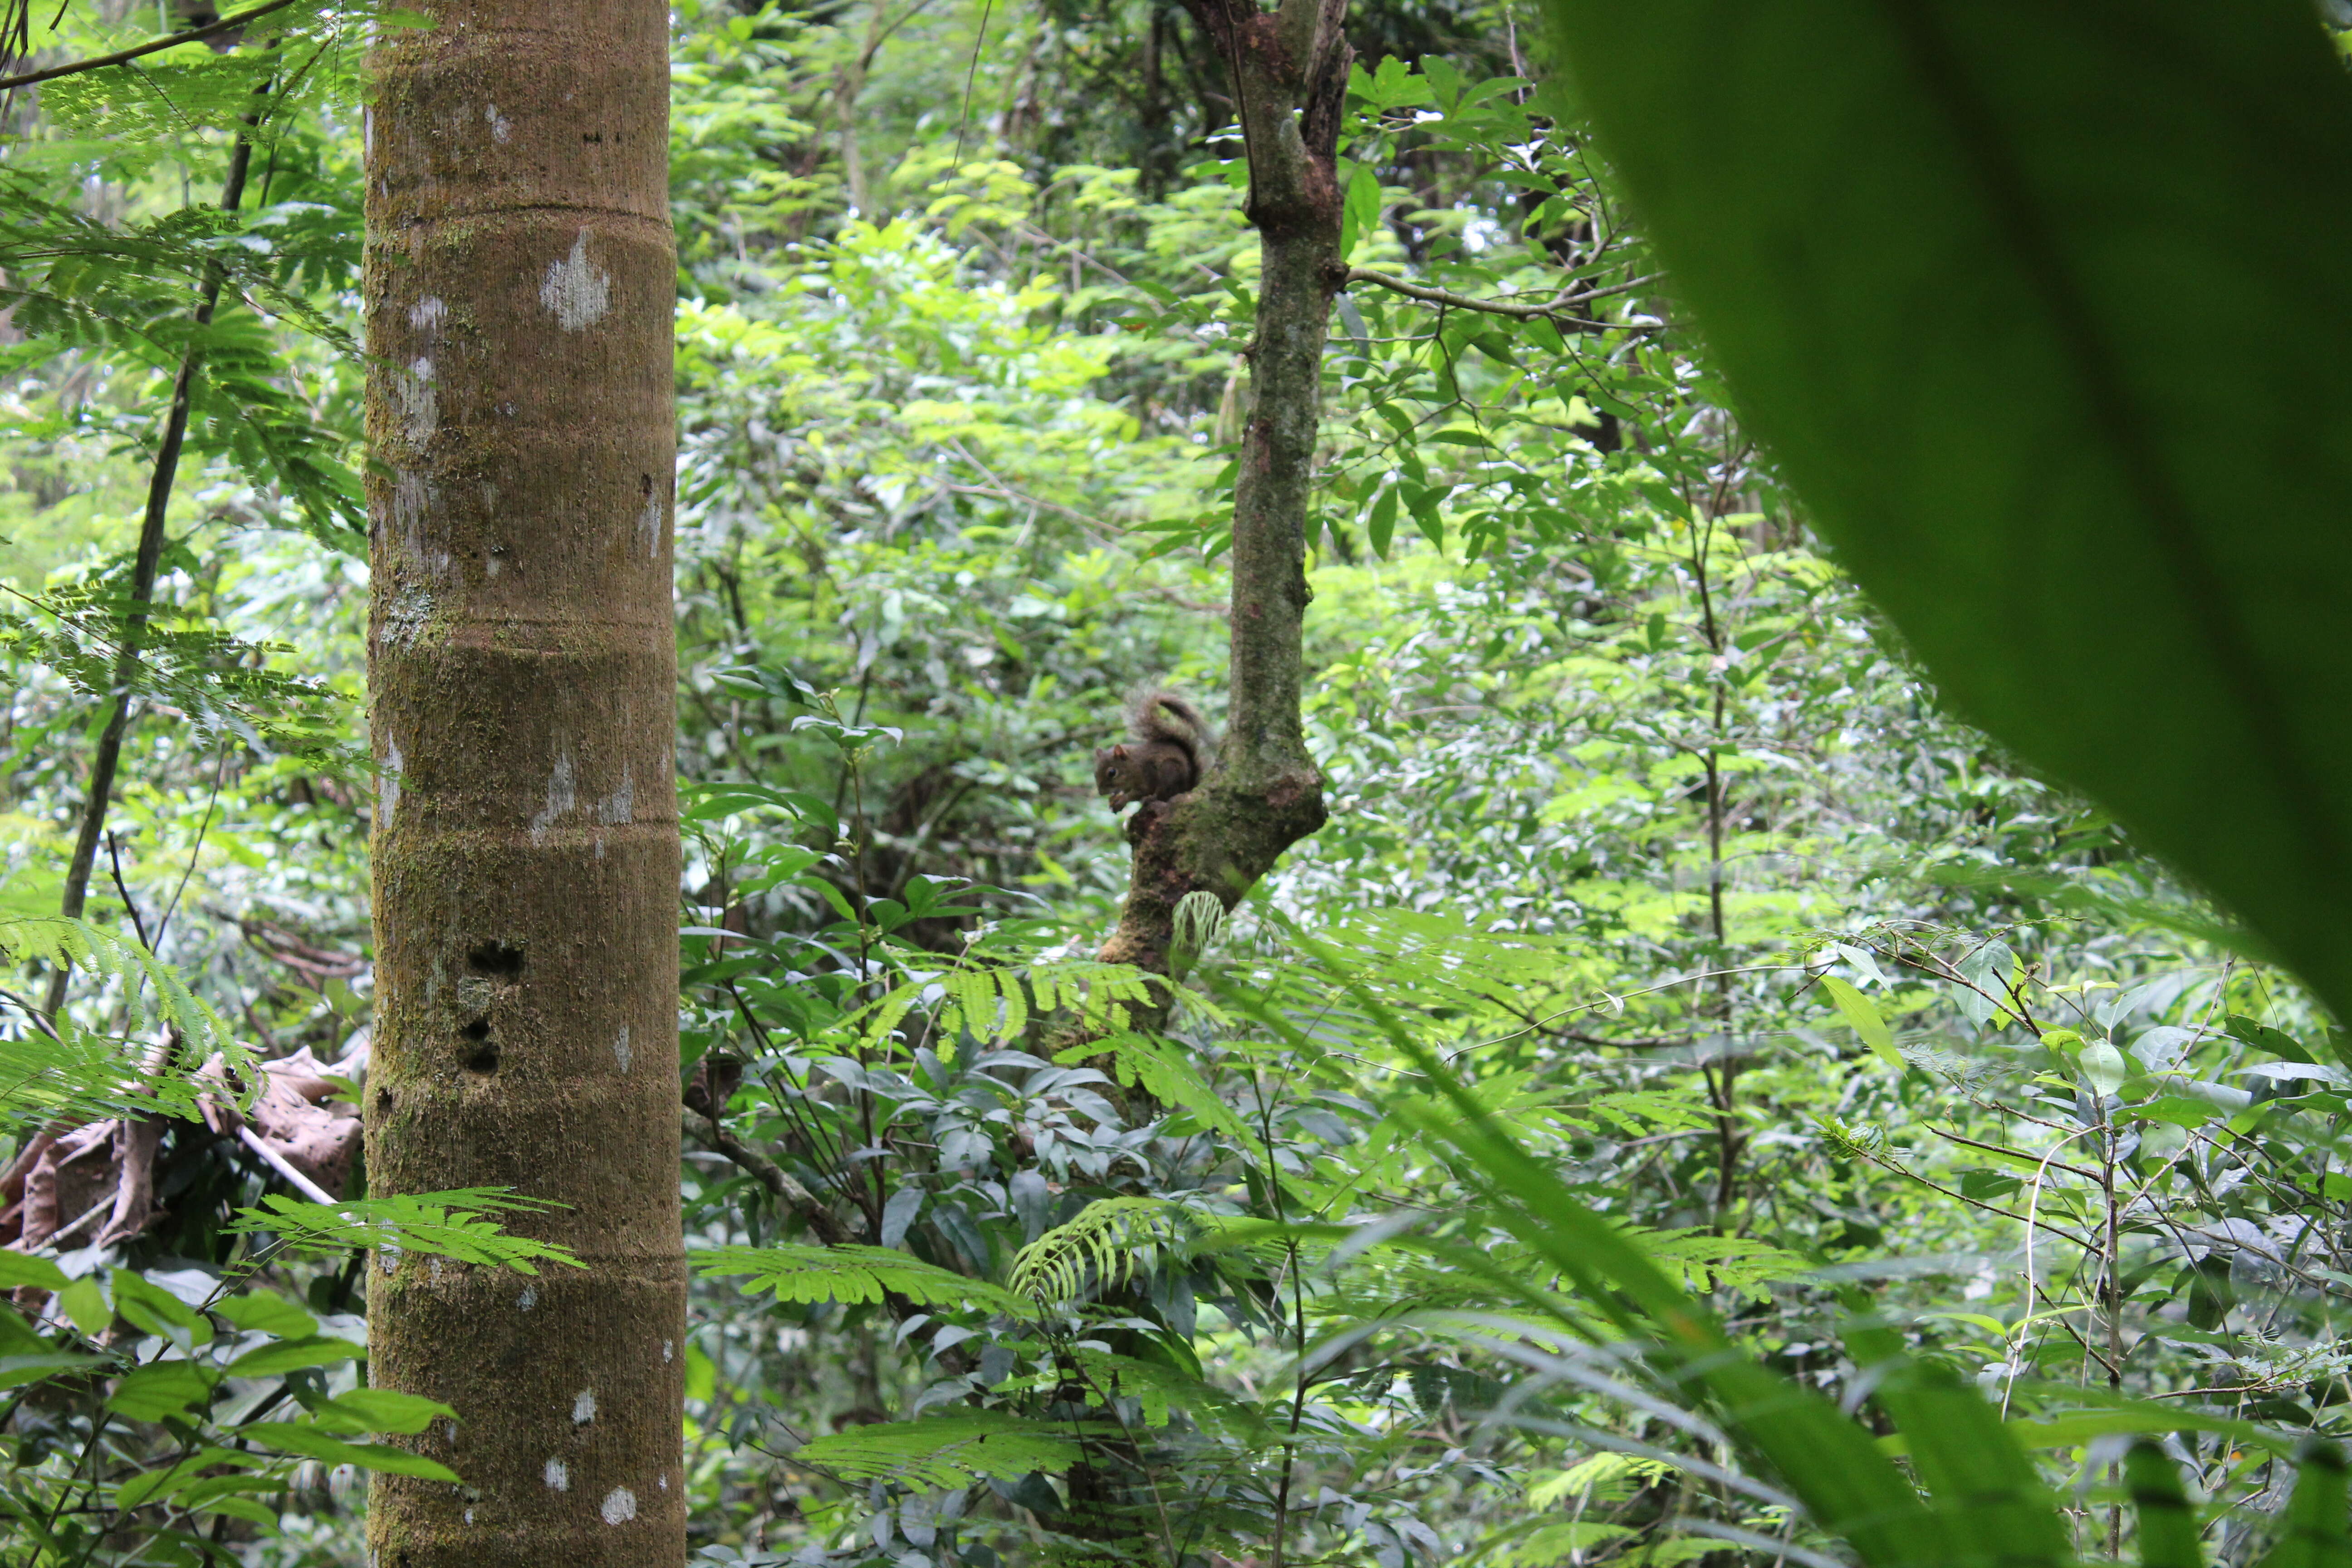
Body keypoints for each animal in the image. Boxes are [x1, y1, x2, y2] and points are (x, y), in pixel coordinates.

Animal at [1096, 691, 1223, 818]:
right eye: (1095, 773)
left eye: (1112, 773)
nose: (1101, 793)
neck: (1133, 765)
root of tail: (1188, 788)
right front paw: (1114, 801)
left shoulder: (1147, 775)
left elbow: (1139, 793)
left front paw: (1122, 801)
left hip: (1169, 770)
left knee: (1163, 795)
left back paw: (1150, 799)